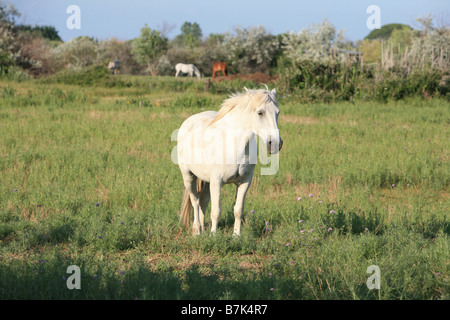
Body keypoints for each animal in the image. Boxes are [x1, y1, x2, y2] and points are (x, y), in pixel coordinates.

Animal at [178, 86, 284, 236]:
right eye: (260, 113)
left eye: (277, 113)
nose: (275, 144)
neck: (234, 144)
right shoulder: (217, 182)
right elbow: (216, 211)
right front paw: (213, 236)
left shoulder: (245, 182)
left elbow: (238, 210)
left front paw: (236, 235)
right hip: (188, 176)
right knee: (195, 201)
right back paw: (197, 230)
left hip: (206, 181)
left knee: (203, 202)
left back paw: (202, 229)